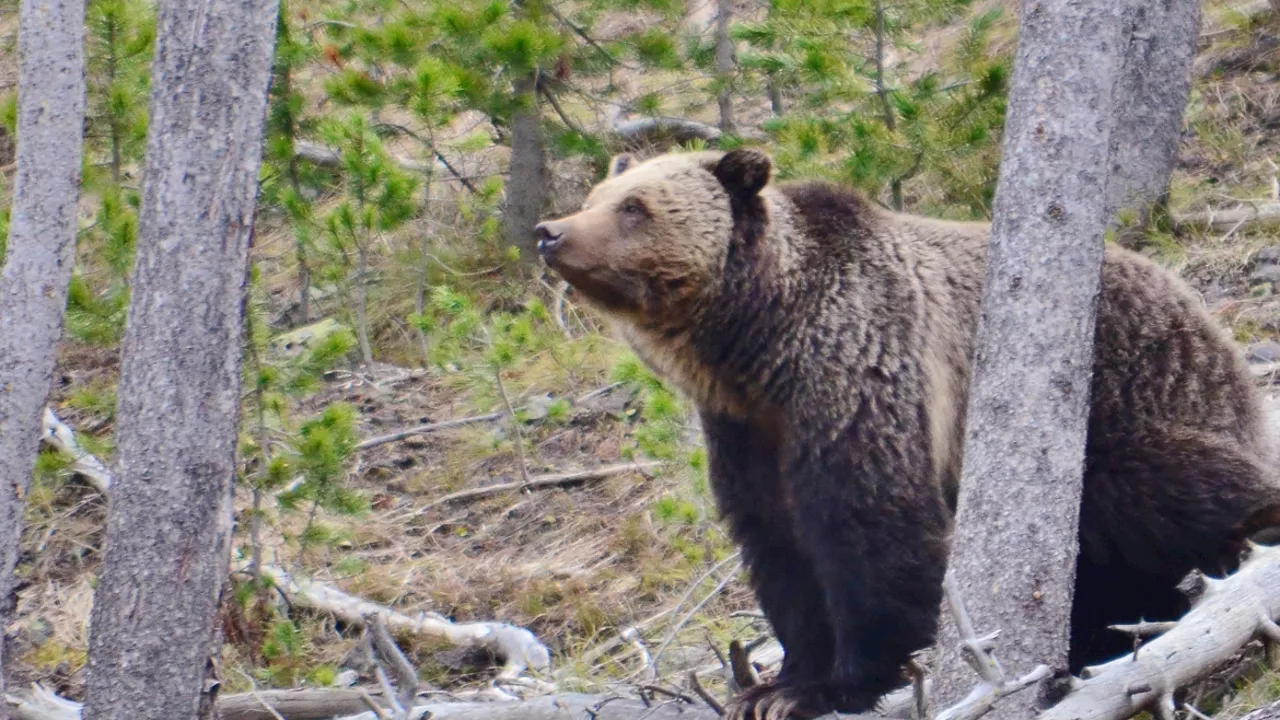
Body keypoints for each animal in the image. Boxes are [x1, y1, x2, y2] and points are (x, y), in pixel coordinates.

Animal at [535, 148, 1280, 712]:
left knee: (1160, 487)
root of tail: (1208, 324)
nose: (551, 230)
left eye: (635, 207)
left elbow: (871, 525)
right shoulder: (747, 432)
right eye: (600, 193)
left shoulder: (861, 371)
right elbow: (777, 543)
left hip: (1135, 399)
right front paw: (775, 687)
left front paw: (847, 682)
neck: (759, 347)